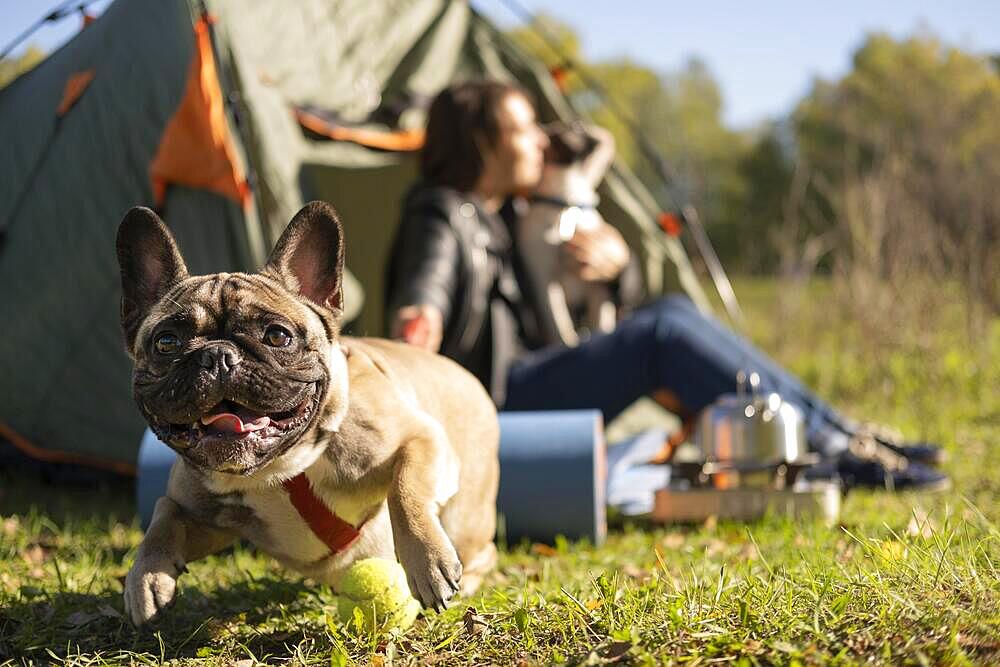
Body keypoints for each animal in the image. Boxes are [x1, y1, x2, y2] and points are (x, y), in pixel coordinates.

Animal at [520, 122, 620, 348]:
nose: (578, 124)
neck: (565, 205)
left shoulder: (596, 284)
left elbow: (601, 321)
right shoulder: (544, 279)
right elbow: (559, 324)